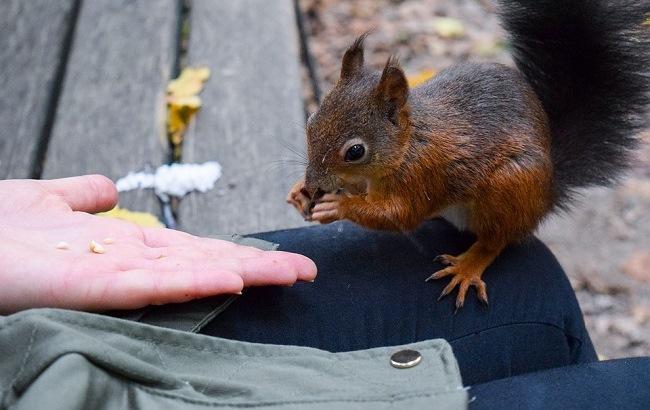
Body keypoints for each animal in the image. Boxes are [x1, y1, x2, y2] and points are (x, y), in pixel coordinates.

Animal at [286, 0, 644, 308]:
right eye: (311, 121)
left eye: (355, 151)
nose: (313, 183)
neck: (408, 145)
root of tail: (547, 194)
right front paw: (300, 192)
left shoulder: (424, 175)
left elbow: (399, 215)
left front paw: (338, 205)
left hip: (511, 185)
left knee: (496, 238)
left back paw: (468, 267)